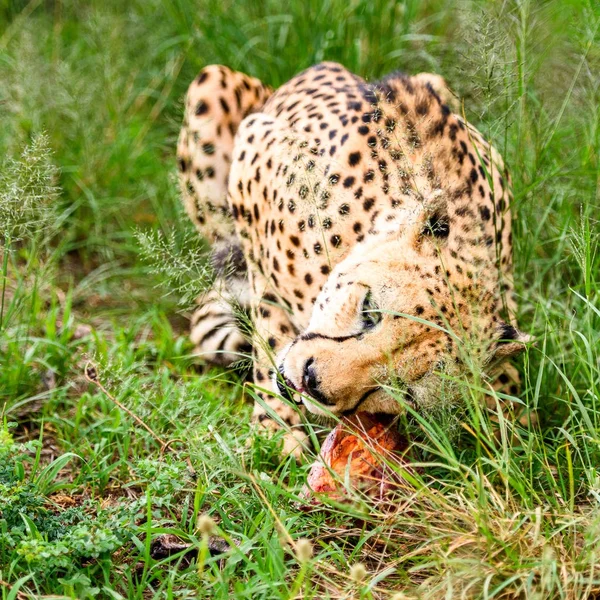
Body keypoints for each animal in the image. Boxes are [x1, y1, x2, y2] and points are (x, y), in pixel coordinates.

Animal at [177, 61, 528, 454]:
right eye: (370, 310)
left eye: (403, 391)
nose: (312, 382)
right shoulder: (254, 150)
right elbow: (269, 322)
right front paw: (278, 426)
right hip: (212, 85)